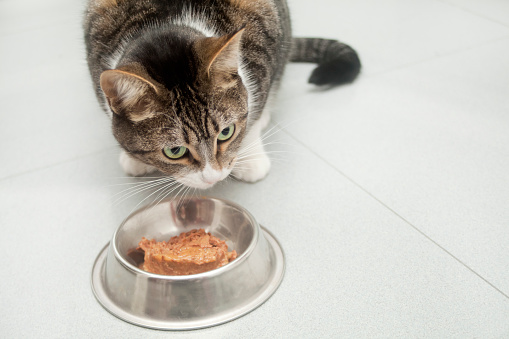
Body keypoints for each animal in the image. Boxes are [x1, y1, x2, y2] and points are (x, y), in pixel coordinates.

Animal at [83, 0, 360, 189]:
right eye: (174, 151)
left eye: (226, 132)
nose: (213, 178)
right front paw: (135, 160)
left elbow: (254, 111)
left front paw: (251, 159)